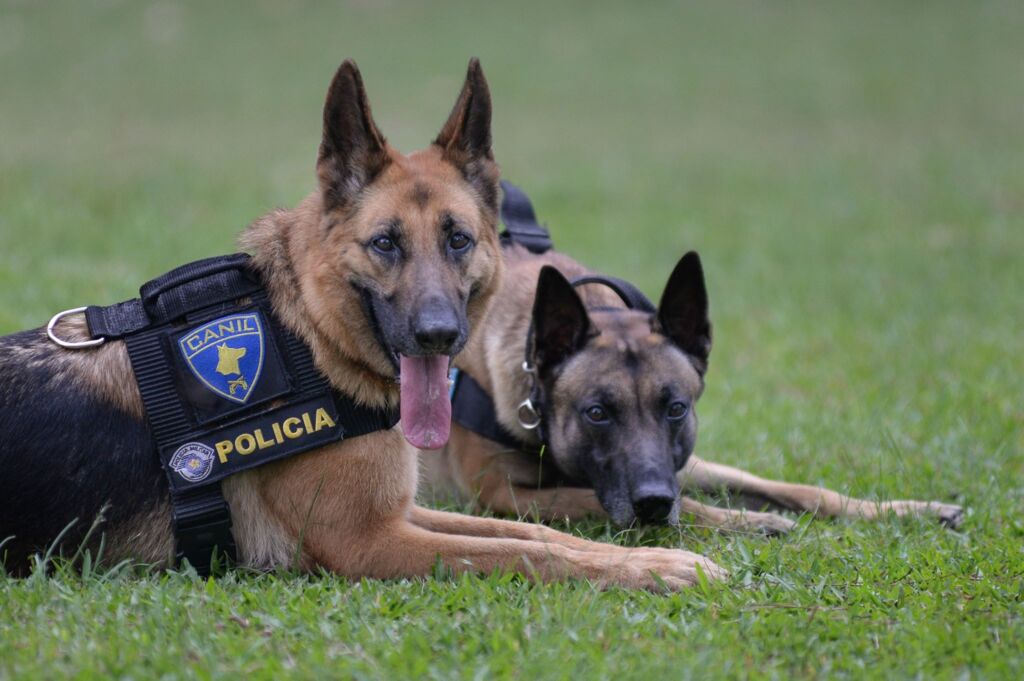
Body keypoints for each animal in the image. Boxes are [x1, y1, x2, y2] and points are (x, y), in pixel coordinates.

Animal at [2, 59, 720, 589]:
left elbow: (536, 529)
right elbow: (525, 551)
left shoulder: (407, 511)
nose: (438, 336)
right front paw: (657, 568)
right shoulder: (372, 541)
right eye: (385, 243)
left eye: (458, 239)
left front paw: (655, 555)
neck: (309, 342)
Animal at [419, 209, 962, 528]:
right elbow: (605, 497)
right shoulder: (503, 494)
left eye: (676, 408)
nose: (655, 502)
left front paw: (901, 510)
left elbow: (798, 489)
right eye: (597, 413)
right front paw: (746, 522)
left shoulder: (682, 461)